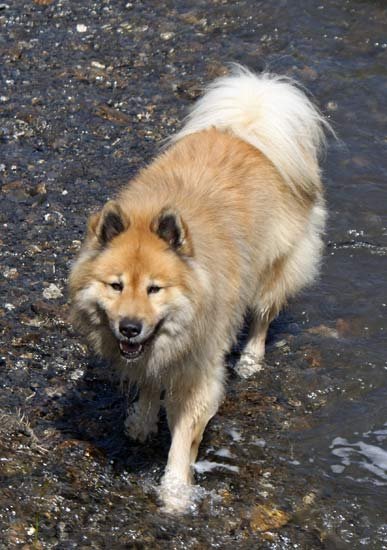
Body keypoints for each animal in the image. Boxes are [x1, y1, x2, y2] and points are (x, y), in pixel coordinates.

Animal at [69, 67, 330, 516]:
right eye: (116, 285)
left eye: (155, 289)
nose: (130, 328)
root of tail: (245, 132)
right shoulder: (155, 354)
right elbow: (149, 382)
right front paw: (142, 419)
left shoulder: (199, 368)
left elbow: (184, 434)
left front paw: (176, 492)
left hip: (272, 271)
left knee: (263, 315)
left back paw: (251, 359)